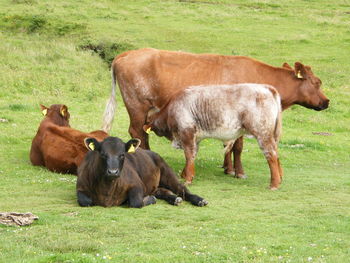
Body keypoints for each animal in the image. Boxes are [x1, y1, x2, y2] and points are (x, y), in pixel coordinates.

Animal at [76, 137, 208, 209]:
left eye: (122, 154)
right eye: (103, 154)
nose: (113, 172)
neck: (107, 191)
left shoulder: (137, 185)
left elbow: (136, 202)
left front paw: (150, 199)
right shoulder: (80, 187)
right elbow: (85, 201)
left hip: (168, 173)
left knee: (183, 190)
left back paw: (199, 200)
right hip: (154, 185)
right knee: (163, 191)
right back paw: (175, 199)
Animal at [144, 84, 284, 190]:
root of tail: (266, 87)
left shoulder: (187, 132)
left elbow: (189, 154)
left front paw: (187, 179)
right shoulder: (196, 138)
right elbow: (192, 155)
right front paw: (185, 174)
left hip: (263, 134)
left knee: (271, 155)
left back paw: (274, 184)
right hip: (272, 135)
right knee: (276, 153)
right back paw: (280, 179)